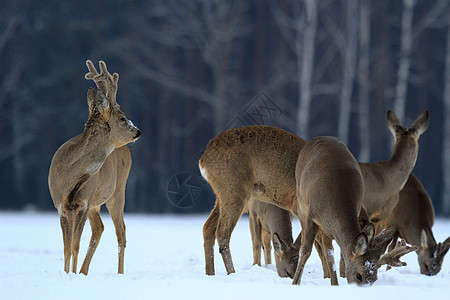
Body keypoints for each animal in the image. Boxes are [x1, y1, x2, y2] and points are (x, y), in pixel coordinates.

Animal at [46, 60, 140, 274]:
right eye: (123, 118)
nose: (137, 131)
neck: (70, 177)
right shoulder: (61, 204)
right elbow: (67, 247)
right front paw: (68, 274)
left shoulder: (83, 202)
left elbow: (75, 245)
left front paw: (71, 275)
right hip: (97, 202)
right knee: (100, 228)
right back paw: (84, 271)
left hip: (117, 190)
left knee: (121, 231)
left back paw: (119, 273)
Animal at [200, 125, 306, 276]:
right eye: (287, 271)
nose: (290, 275)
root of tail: (203, 160)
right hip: (234, 192)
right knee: (223, 233)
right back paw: (232, 273)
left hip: (221, 197)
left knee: (208, 227)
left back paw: (210, 273)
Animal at [294, 137, 416, 286]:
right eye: (359, 275)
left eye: (375, 278)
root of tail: (319, 138)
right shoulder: (312, 215)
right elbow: (306, 250)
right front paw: (295, 283)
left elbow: (334, 255)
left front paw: (335, 284)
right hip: (301, 203)